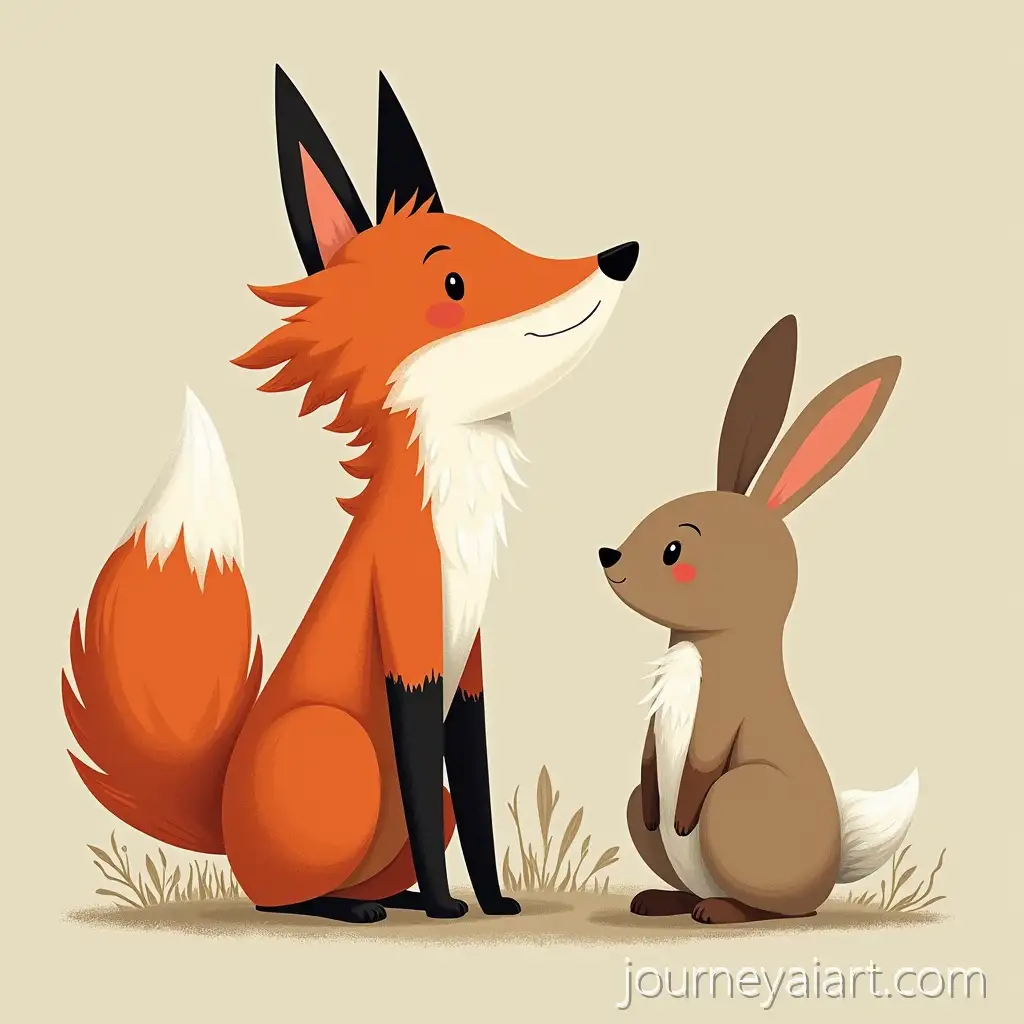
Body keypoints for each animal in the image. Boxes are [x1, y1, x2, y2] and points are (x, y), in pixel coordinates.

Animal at [60, 67, 639, 924]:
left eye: (506, 241)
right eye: (454, 282)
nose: (620, 255)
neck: (455, 523)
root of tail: (223, 822)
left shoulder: (468, 668)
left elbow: (474, 791)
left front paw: (491, 901)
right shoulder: (410, 648)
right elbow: (426, 778)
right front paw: (447, 909)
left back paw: (390, 897)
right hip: (339, 751)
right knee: (280, 901)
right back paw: (349, 908)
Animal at [598, 314, 918, 924]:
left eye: (674, 550)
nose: (608, 556)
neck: (701, 643)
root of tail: (829, 873)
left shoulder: (727, 703)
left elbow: (703, 759)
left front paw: (681, 815)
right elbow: (649, 759)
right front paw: (658, 810)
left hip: (739, 800)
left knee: (779, 909)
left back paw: (720, 911)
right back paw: (663, 900)